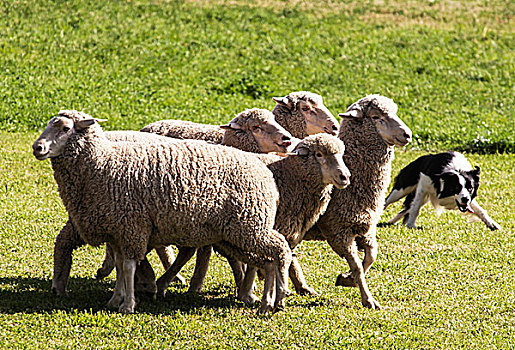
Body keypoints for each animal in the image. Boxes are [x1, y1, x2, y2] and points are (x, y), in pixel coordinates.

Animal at [33, 110, 294, 314]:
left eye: (65, 128)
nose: (37, 147)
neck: (102, 163)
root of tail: (266, 173)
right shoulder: (118, 229)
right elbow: (120, 265)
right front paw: (116, 299)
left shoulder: (132, 226)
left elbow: (127, 266)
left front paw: (128, 305)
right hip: (238, 232)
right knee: (268, 260)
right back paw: (266, 301)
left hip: (250, 225)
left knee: (280, 249)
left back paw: (279, 297)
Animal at [153, 133, 350, 300]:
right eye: (319, 154)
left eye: (341, 155)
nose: (345, 176)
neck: (291, 175)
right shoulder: (261, 225)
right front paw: (250, 291)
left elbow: (289, 258)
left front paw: (303, 288)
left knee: (193, 251)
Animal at [304, 95, 414, 308]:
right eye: (376, 116)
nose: (407, 134)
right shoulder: (338, 231)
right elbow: (356, 265)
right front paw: (368, 299)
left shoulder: (365, 227)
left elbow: (371, 256)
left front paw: (347, 280)